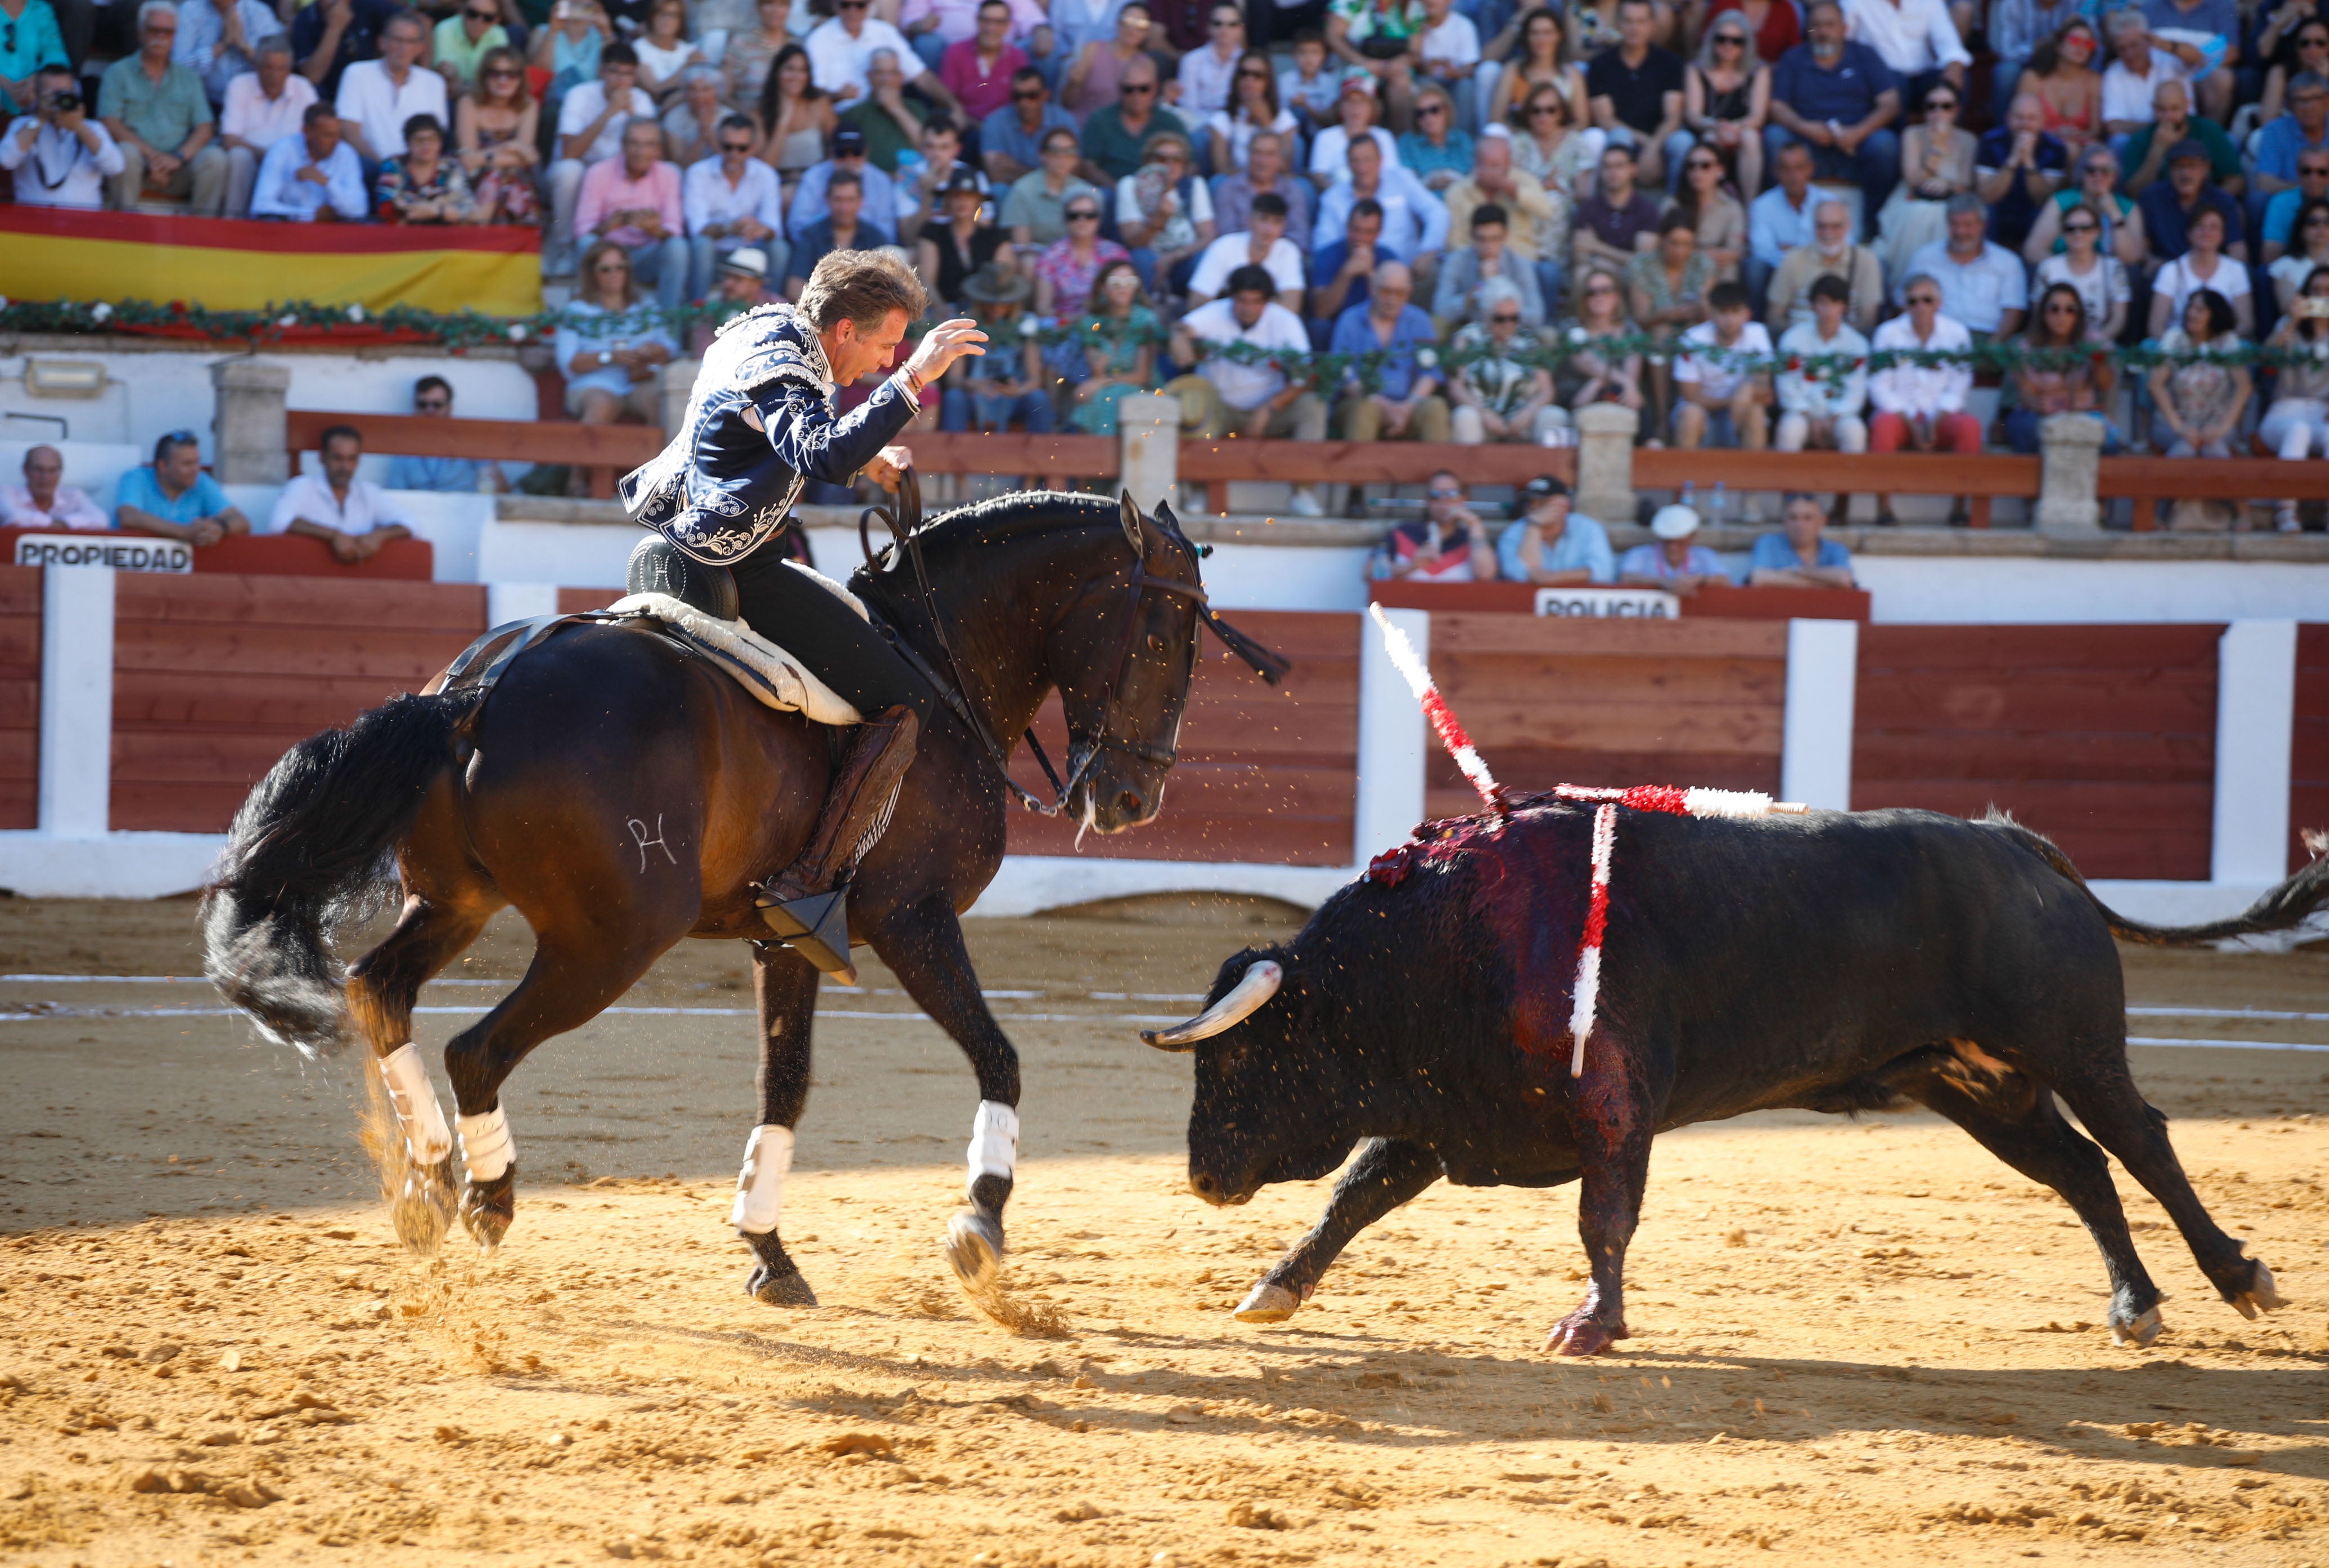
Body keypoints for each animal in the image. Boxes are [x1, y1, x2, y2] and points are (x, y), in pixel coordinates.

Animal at [202, 496, 1285, 1304]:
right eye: (1168, 635)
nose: (1134, 799)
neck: (938, 659)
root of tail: (475, 691)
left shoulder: (789, 939)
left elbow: (786, 1081)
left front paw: (769, 1251)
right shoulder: (913, 915)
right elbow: (997, 1052)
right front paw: (978, 1220)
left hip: (459, 900)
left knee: (377, 988)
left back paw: (428, 1183)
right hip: (611, 938)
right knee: (476, 1046)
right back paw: (487, 1196)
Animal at [1136, 801, 2319, 1351]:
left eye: (1241, 1054)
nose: (1197, 1175)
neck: (1444, 940)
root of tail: (2018, 843)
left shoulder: (1612, 1101)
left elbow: (1603, 1214)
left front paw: (1589, 1325)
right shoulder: (1452, 1108)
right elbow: (1355, 1195)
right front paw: (1270, 1288)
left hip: (2069, 1045)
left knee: (2142, 1143)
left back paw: (2235, 1276)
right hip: (1972, 1083)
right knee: (2078, 1167)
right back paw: (2134, 1303)